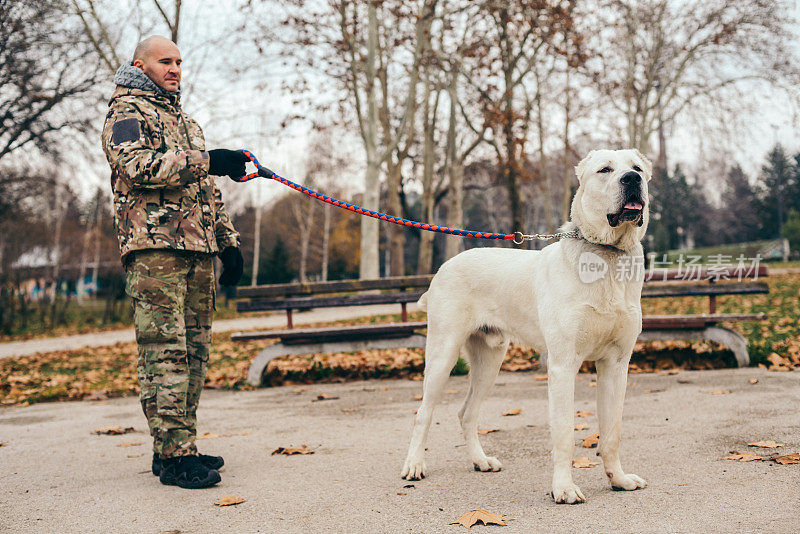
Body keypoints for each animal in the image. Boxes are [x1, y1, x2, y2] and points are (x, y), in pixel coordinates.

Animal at [404, 149, 652, 504]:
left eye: (638, 169)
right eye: (605, 170)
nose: (631, 179)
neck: (607, 255)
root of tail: (443, 267)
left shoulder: (616, 365)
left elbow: (612, 431)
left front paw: (618, 479)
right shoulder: (563, 366)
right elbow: (564, 434)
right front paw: (563, 489)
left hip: (490, 360)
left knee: (467, 413)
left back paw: (481, 461)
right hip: (443, 354)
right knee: (423, 412)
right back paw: (414, 465)